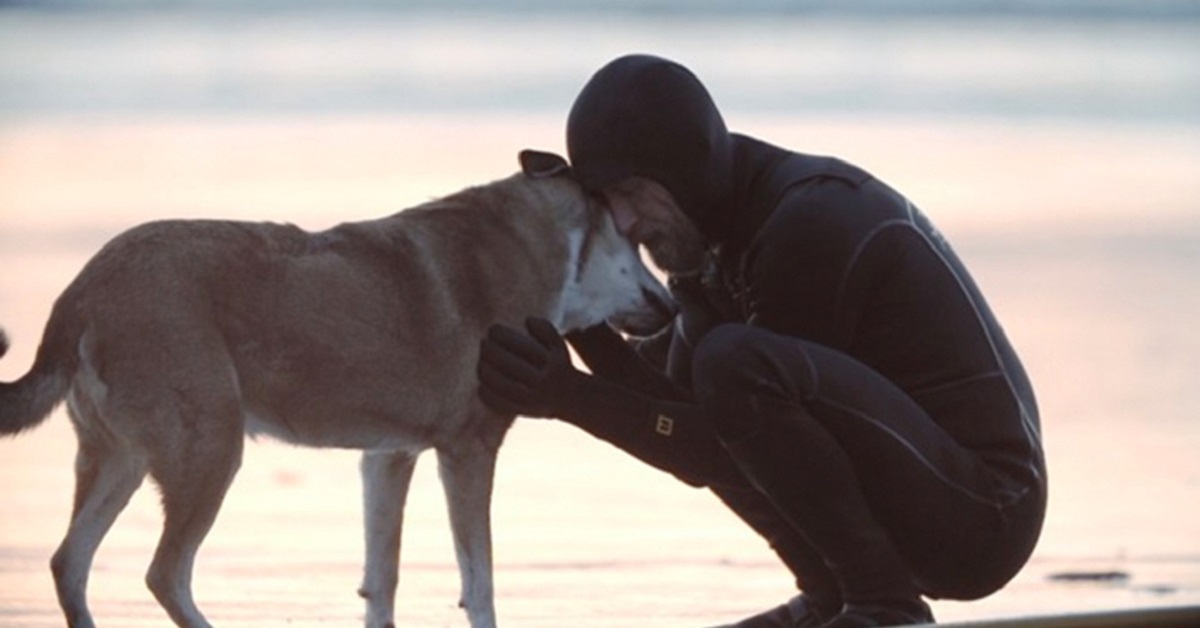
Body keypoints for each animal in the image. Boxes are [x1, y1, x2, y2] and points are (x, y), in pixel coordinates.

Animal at [0, 151, 676, 628]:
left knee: (70, 563)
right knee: (165, 574)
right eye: (638, 242)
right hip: (209, 449)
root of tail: (80, 291)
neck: (541, 244)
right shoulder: (469, 451)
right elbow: (478, 581)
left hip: (121, 459)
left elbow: (383, 578)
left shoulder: (388, 456)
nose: (673, 308)